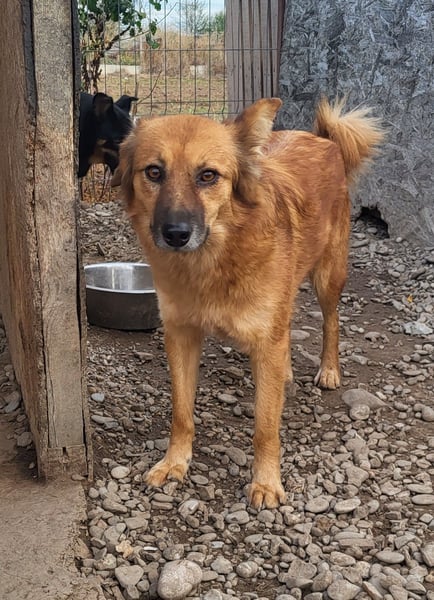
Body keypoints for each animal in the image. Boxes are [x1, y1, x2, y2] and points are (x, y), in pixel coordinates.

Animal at [116, 97, 383, 508]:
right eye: (154, 172)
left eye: (208, 175)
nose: (175, 234)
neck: (214, 261)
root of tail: (323, 139)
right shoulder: (181, 335)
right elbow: (181, 412)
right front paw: (174, 463)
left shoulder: (265, 338)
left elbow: (265, 426)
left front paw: (266, 482)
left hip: (328, 276)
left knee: (331, 320)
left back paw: (328, 370)